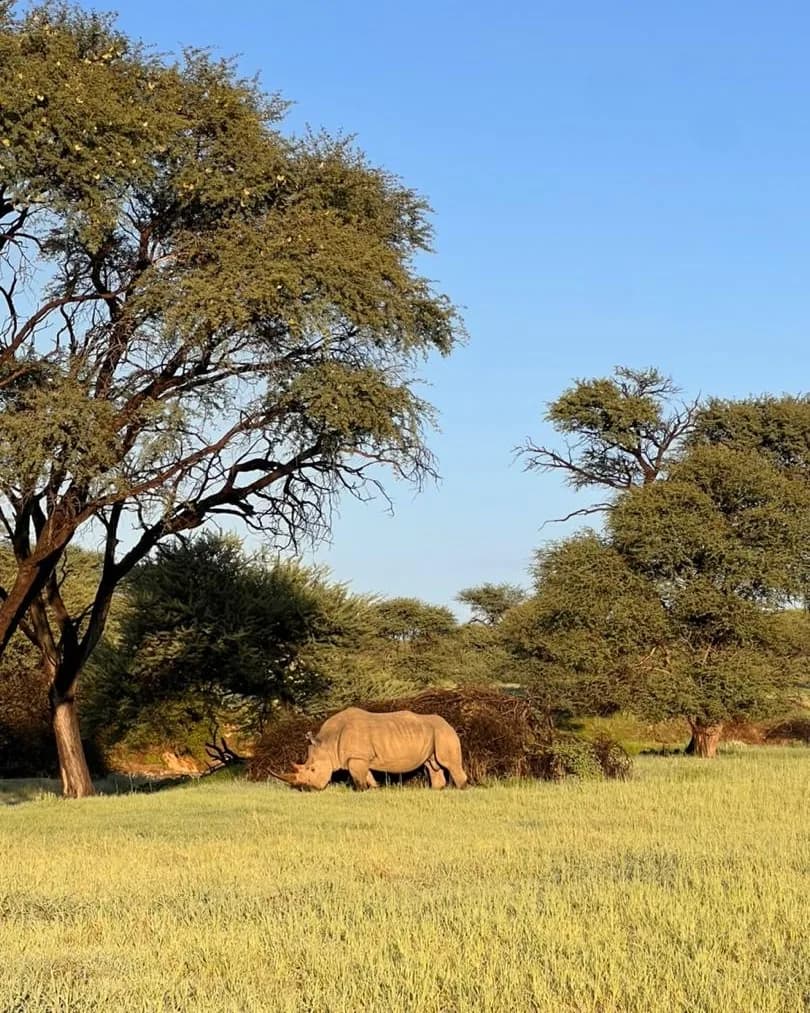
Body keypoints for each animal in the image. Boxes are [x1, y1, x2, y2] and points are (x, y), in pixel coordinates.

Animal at [270, 707, 469, 791]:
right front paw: (374, 789)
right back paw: (437, 791)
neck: (327, 743)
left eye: (312, 769)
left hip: (444, 732)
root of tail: (449, 723)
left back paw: (460, 789)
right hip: (433, 733)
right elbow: (367, 775)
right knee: (432, 764)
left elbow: (358, 777)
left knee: (448, 763)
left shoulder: (357, 757)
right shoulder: (360, 757)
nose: (305, 789)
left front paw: (360, 791)